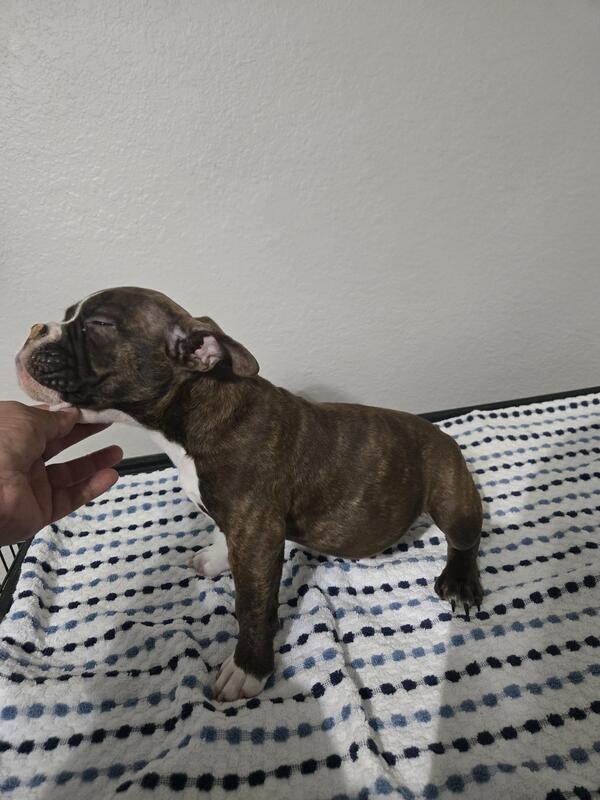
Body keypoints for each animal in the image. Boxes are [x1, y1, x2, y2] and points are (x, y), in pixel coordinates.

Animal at [16, 287, 483, 701]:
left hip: (451, 493)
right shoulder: (240, 525)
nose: (36, 327)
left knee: (464, 540)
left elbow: (253, 606)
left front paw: (248, 668)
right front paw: (215, 558)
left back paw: (460, 581)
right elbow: (224, 540)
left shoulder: (257, 533)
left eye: (98, 326)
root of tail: (440, 432)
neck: (196, 413)